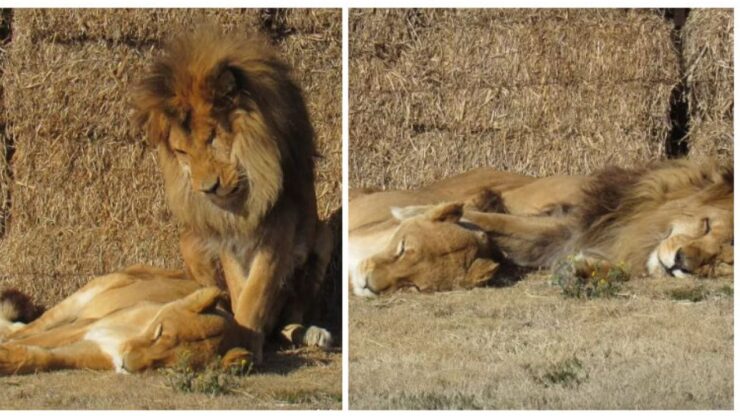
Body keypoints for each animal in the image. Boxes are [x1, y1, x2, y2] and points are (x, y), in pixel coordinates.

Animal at [0, 266, 249, 376]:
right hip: (78, 301)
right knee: (25, 329)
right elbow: (34, 340)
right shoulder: (86, 326)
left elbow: (43, 357)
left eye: (168, 366)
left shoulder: (97, 351)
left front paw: (8, 359)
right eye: (160, 332)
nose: (126, 365)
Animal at [133, 28, 332, 364]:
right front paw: (239, 334)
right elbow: (240, 291)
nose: (207, 188)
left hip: (324, 236)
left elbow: (256, 293)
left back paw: (309, 333)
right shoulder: (226, 236)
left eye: (213, 137)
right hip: (189, 243)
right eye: (181, 151)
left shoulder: (280, 230)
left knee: (290, 317)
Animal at [352, 159, 736, 296]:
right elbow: (492, 221)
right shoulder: (567, 229)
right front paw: (413, 212)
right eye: (705, 225)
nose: (682, 261)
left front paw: (580, 271)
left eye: (721, 262)